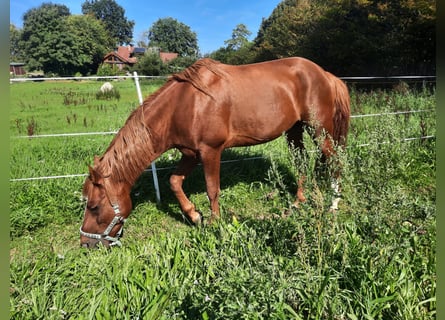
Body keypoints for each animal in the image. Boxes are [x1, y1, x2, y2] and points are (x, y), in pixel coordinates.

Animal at [80, 57, 350, 248]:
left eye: (93, 206)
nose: (86, 243)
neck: (184, 104)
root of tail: (325, 74)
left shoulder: (210, 151)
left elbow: (212, 189)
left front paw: (214, 223)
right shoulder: (190, 154)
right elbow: (174, 181)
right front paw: (194, 216)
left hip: (320, 130)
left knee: (335, 162)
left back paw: (333, 205)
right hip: (294, 131)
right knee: (302, 162)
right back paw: (298, 202)